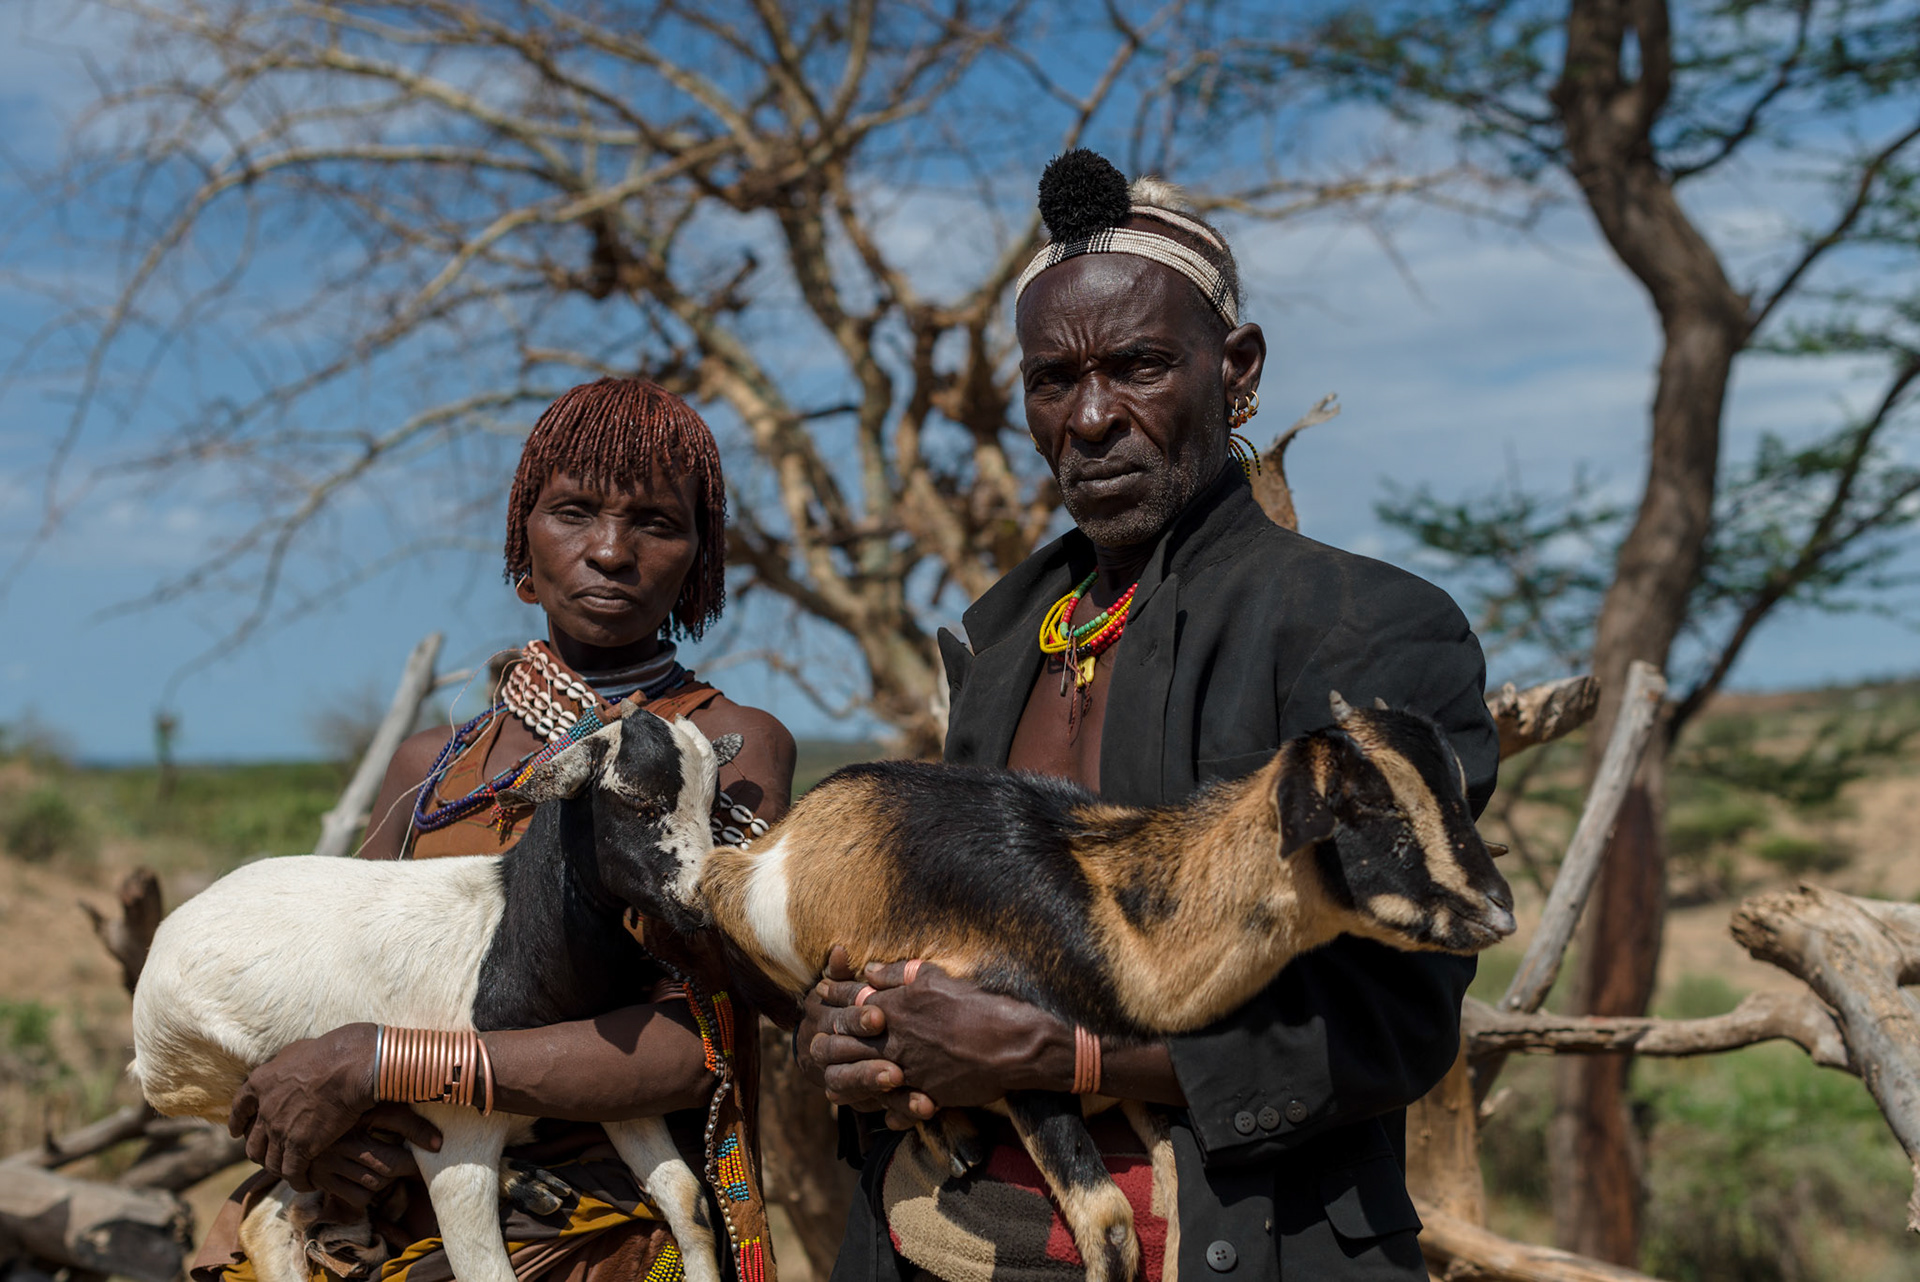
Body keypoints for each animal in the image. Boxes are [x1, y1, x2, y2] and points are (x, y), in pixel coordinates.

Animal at [696, 694, 1516, 1282]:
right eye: (1366, 804)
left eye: (1456, 790)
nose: (1498, 908)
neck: (1113, 900)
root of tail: (780, 841)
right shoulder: (1008, 1063)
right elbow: (1114, 1229)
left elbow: (1162, 1209)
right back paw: (950, 1136)